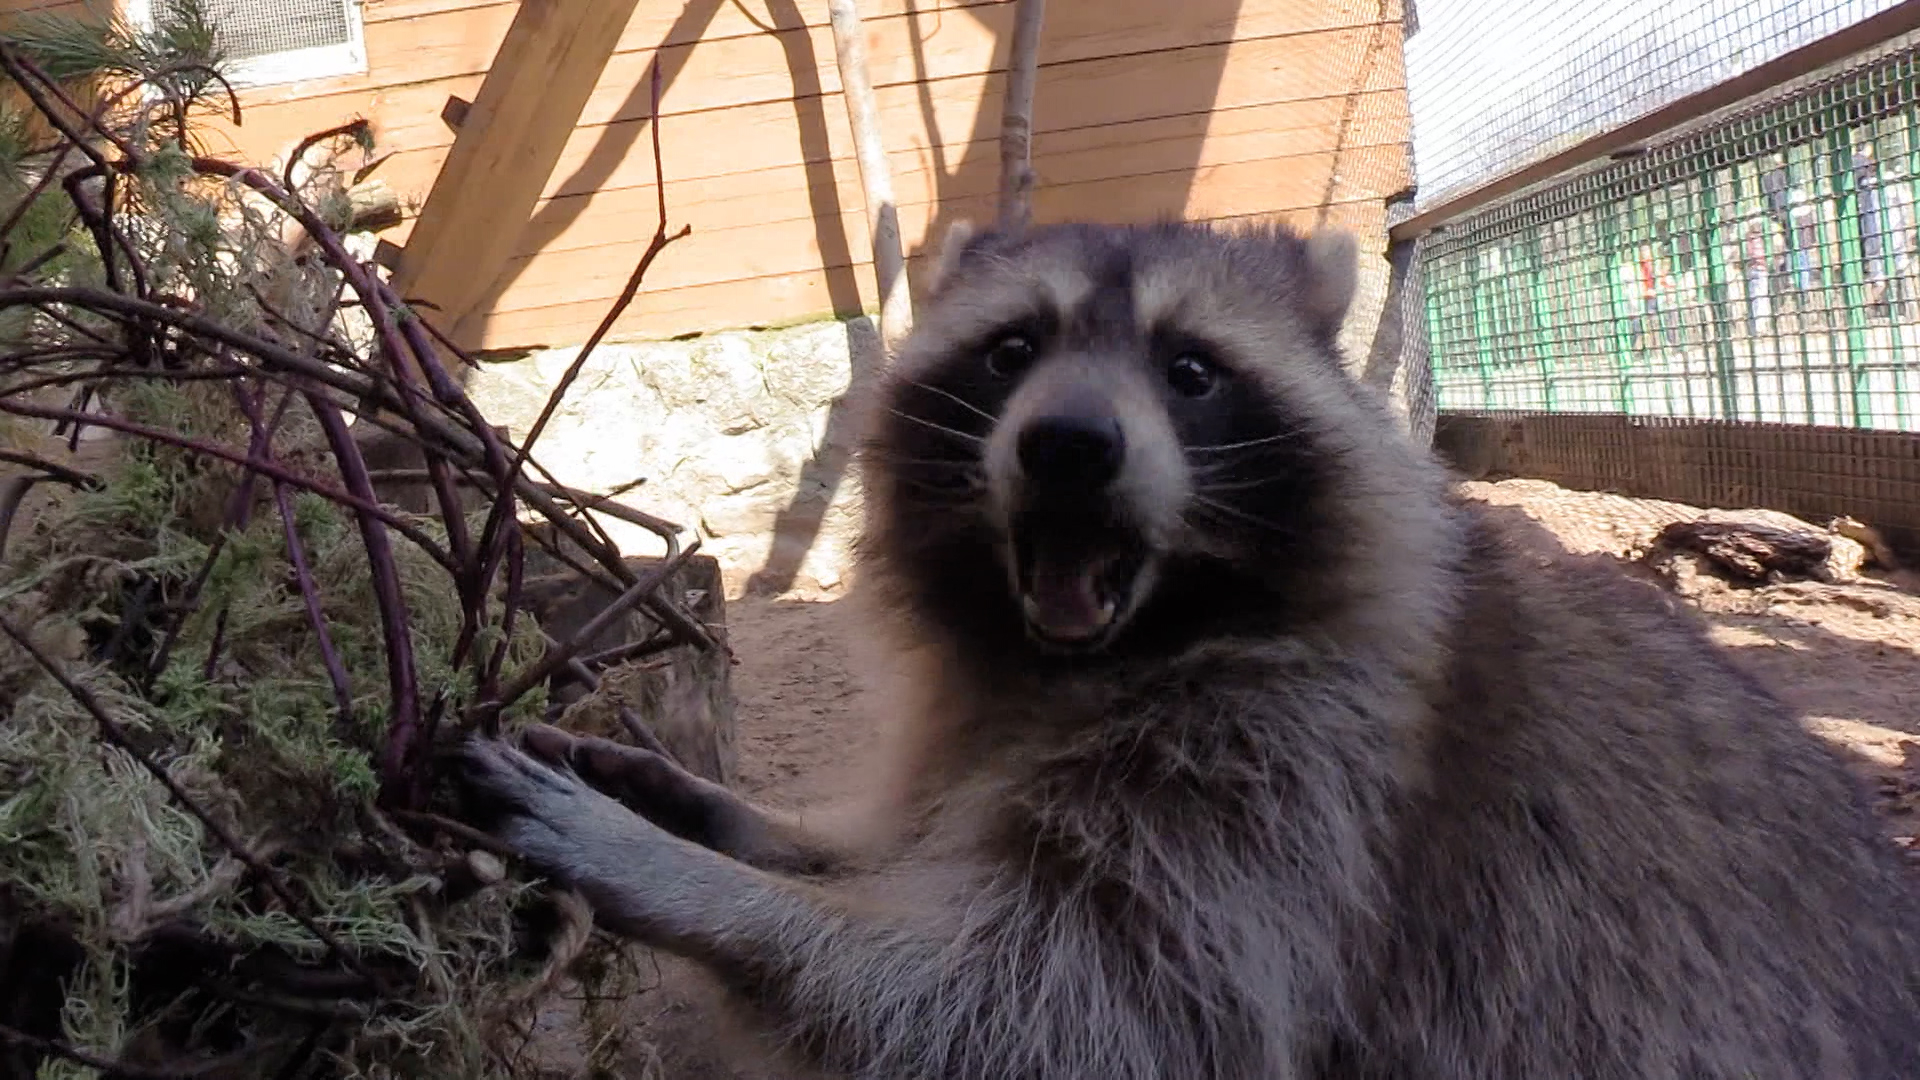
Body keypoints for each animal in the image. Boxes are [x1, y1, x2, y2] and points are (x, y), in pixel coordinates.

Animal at [456, 219, 1920, 1076]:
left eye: (1192, 371)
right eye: (1013, 349)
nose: (1065, 447)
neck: (1101, 653)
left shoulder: (1308, 777)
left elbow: (1054, 1009)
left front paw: (702, 887)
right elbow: (916, 865)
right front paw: (727, 823)